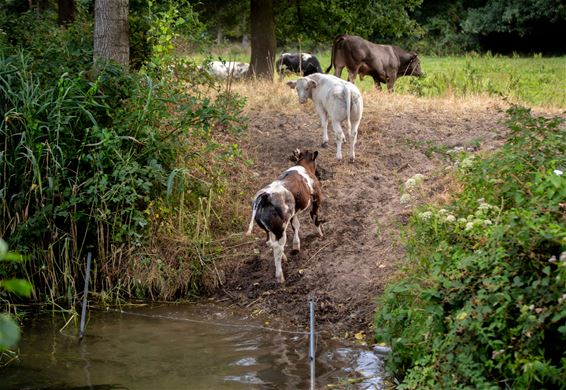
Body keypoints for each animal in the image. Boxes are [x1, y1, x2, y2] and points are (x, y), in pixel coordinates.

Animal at [245, 149, 324, 284]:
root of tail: (265, 195)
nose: (319, 173)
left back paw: (284, 258)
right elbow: (315, 219)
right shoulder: (316, 200)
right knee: (277, 246)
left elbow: (296, 226)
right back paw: (279, 276)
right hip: (280, 230)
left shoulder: (294, 213)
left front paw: (296, 245)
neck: (303, 166)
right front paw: (320, 235)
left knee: (270, 242)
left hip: (268, 229)